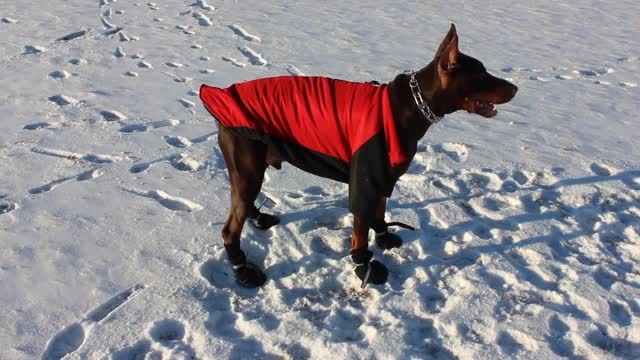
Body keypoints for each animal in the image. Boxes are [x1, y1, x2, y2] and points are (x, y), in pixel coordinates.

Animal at [202, 23, 516, 288]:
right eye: (482, 74)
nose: (516, 87)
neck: (411, 107)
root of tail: (218, 94)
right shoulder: (366, 178)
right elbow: (360, 231)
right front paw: (364, 266)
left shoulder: (384, 175)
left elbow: (379, 211)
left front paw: (384, 235)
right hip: (248, 168)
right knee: (230, 229)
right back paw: (242, 269)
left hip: (251, 169)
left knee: (243, 206)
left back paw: (257, 219)